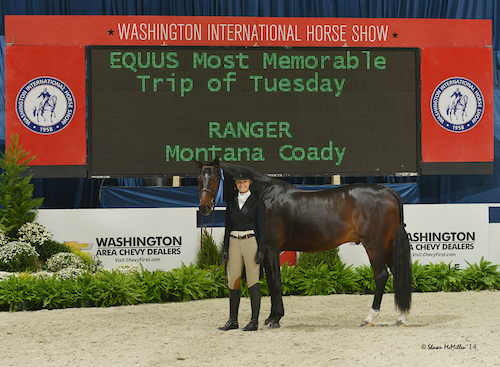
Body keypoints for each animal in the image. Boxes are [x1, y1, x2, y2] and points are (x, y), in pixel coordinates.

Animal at [193, 158, 412, 328]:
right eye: (199, 179)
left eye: (215, 178)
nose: (204, 207)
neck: (265, 195)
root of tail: (390, 192)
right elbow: (271, 282)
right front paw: (271, 317)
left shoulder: (271, 249)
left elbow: (275, 281)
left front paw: (275, 319)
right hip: (387, 245)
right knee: (397, 272)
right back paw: (401, 317)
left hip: (374, 245)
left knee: (381, 275)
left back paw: (369, 317)